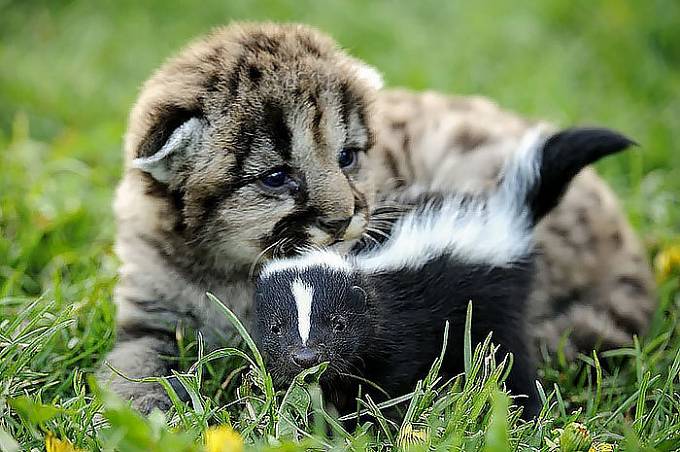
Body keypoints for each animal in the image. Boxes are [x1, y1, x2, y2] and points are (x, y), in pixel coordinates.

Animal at [252, 125, 636, 418]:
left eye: (338, 324)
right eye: (275, 327)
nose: (306, 357)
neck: (362, 266)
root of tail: (506, 209)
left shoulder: (400, 330)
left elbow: (391, 382)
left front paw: (369, 418)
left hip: (499, 302)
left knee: (511, 357)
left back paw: (528, 408)